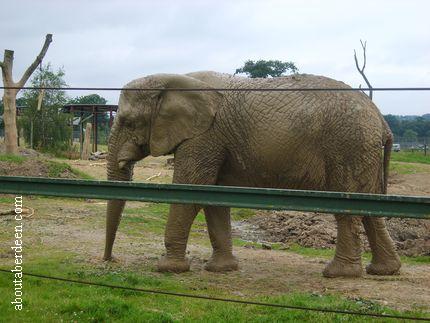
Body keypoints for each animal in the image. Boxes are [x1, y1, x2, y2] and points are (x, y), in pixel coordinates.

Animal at [102, 71, 402, 278]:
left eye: (129, 122)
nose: (110, 260)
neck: (172, 78)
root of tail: (382, 121)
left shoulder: (204, 136)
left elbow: (191, 191)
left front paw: (168, 269)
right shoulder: (214, 141)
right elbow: (213, 197)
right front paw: (221, 270)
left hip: (348, 144)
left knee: (347, 205)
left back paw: (338, 274)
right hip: (362, 150)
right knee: (370, 206)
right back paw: (384, 271)